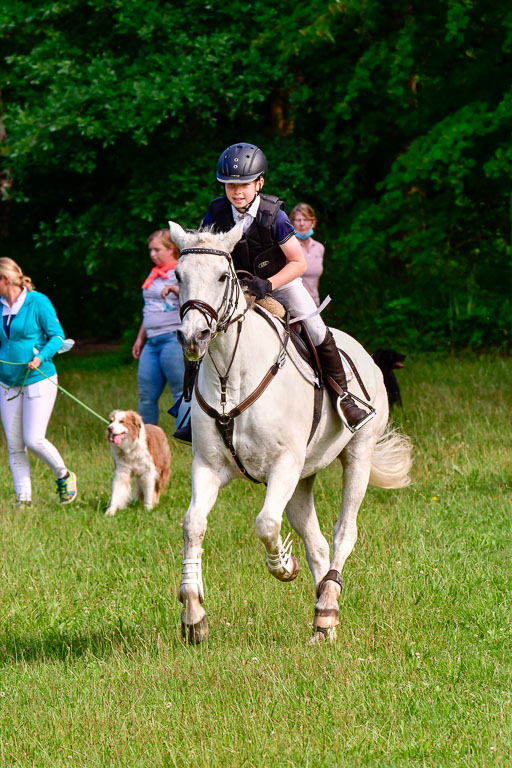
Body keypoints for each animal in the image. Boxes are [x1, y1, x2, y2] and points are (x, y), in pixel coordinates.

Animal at [169, 220, 412, 640]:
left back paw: (327, 604)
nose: (193, 337)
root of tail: (363, 351)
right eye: (178, 276)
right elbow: (193, 525)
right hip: (302, 478)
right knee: (316, 542)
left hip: (357, 455)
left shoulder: (283, 463)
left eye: (222, 277)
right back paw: (323, 618)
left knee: (343, 532)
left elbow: (266, 523)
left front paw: (284, 566)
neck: (229, 377)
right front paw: (193, 614)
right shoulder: (208, 466)